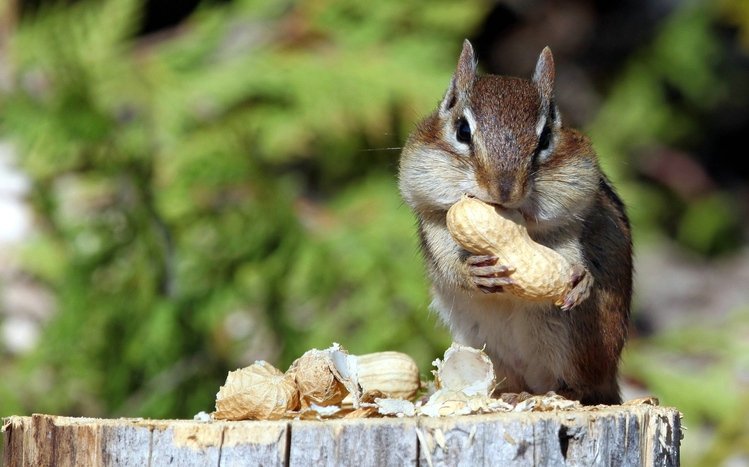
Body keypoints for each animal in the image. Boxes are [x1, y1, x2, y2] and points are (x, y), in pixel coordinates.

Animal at [398, 40, 632, 405]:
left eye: (546, 138)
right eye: (462, 130)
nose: (504, 190)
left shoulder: (568, 223)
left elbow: (570, 254)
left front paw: (581, 280)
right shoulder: (435, 224)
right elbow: (448, 264)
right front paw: (472, 272)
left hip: (576, 341)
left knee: (583, 386)